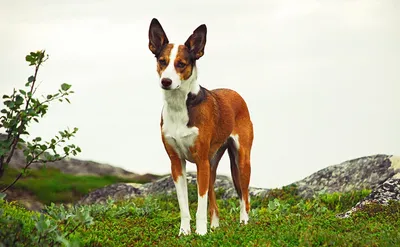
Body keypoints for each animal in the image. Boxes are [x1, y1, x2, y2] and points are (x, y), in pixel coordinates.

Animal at [148, 17, 255, 235]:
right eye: (162, 61)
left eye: (181, 64)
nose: (166, 81)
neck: (180, 106)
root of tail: (235, 93)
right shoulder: (177, 163)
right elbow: (184, 205)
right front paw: (184, 233)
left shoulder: (200, 162)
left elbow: (200, 204)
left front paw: (200, 233)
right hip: (212, 164)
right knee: (214, 198)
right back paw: (215, 225)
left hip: (241, 161)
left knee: (244, 196)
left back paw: (243, 222)